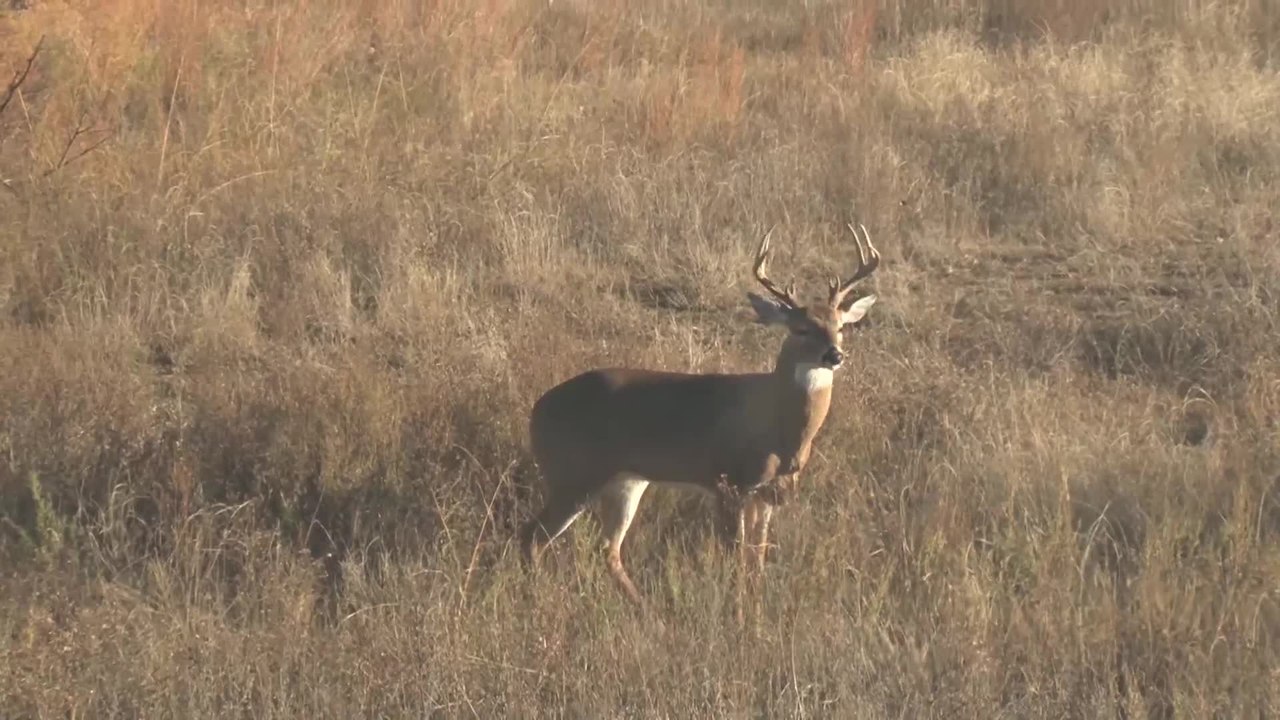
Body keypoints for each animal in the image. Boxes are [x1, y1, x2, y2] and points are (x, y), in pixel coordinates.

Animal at [520, 223, 882, 605]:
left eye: (840, 326)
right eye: (801, 328)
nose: (835, 355)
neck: (780, 431)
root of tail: (538, 410)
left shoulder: (768, 493)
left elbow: (758, 560)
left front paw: (756, 607)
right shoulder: (729, 483)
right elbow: (737, 560)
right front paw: (738, 611)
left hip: (626, 480)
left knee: (608, 548)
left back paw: (642, 604)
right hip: (573, 473)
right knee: (533, 535)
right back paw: (541, 595)